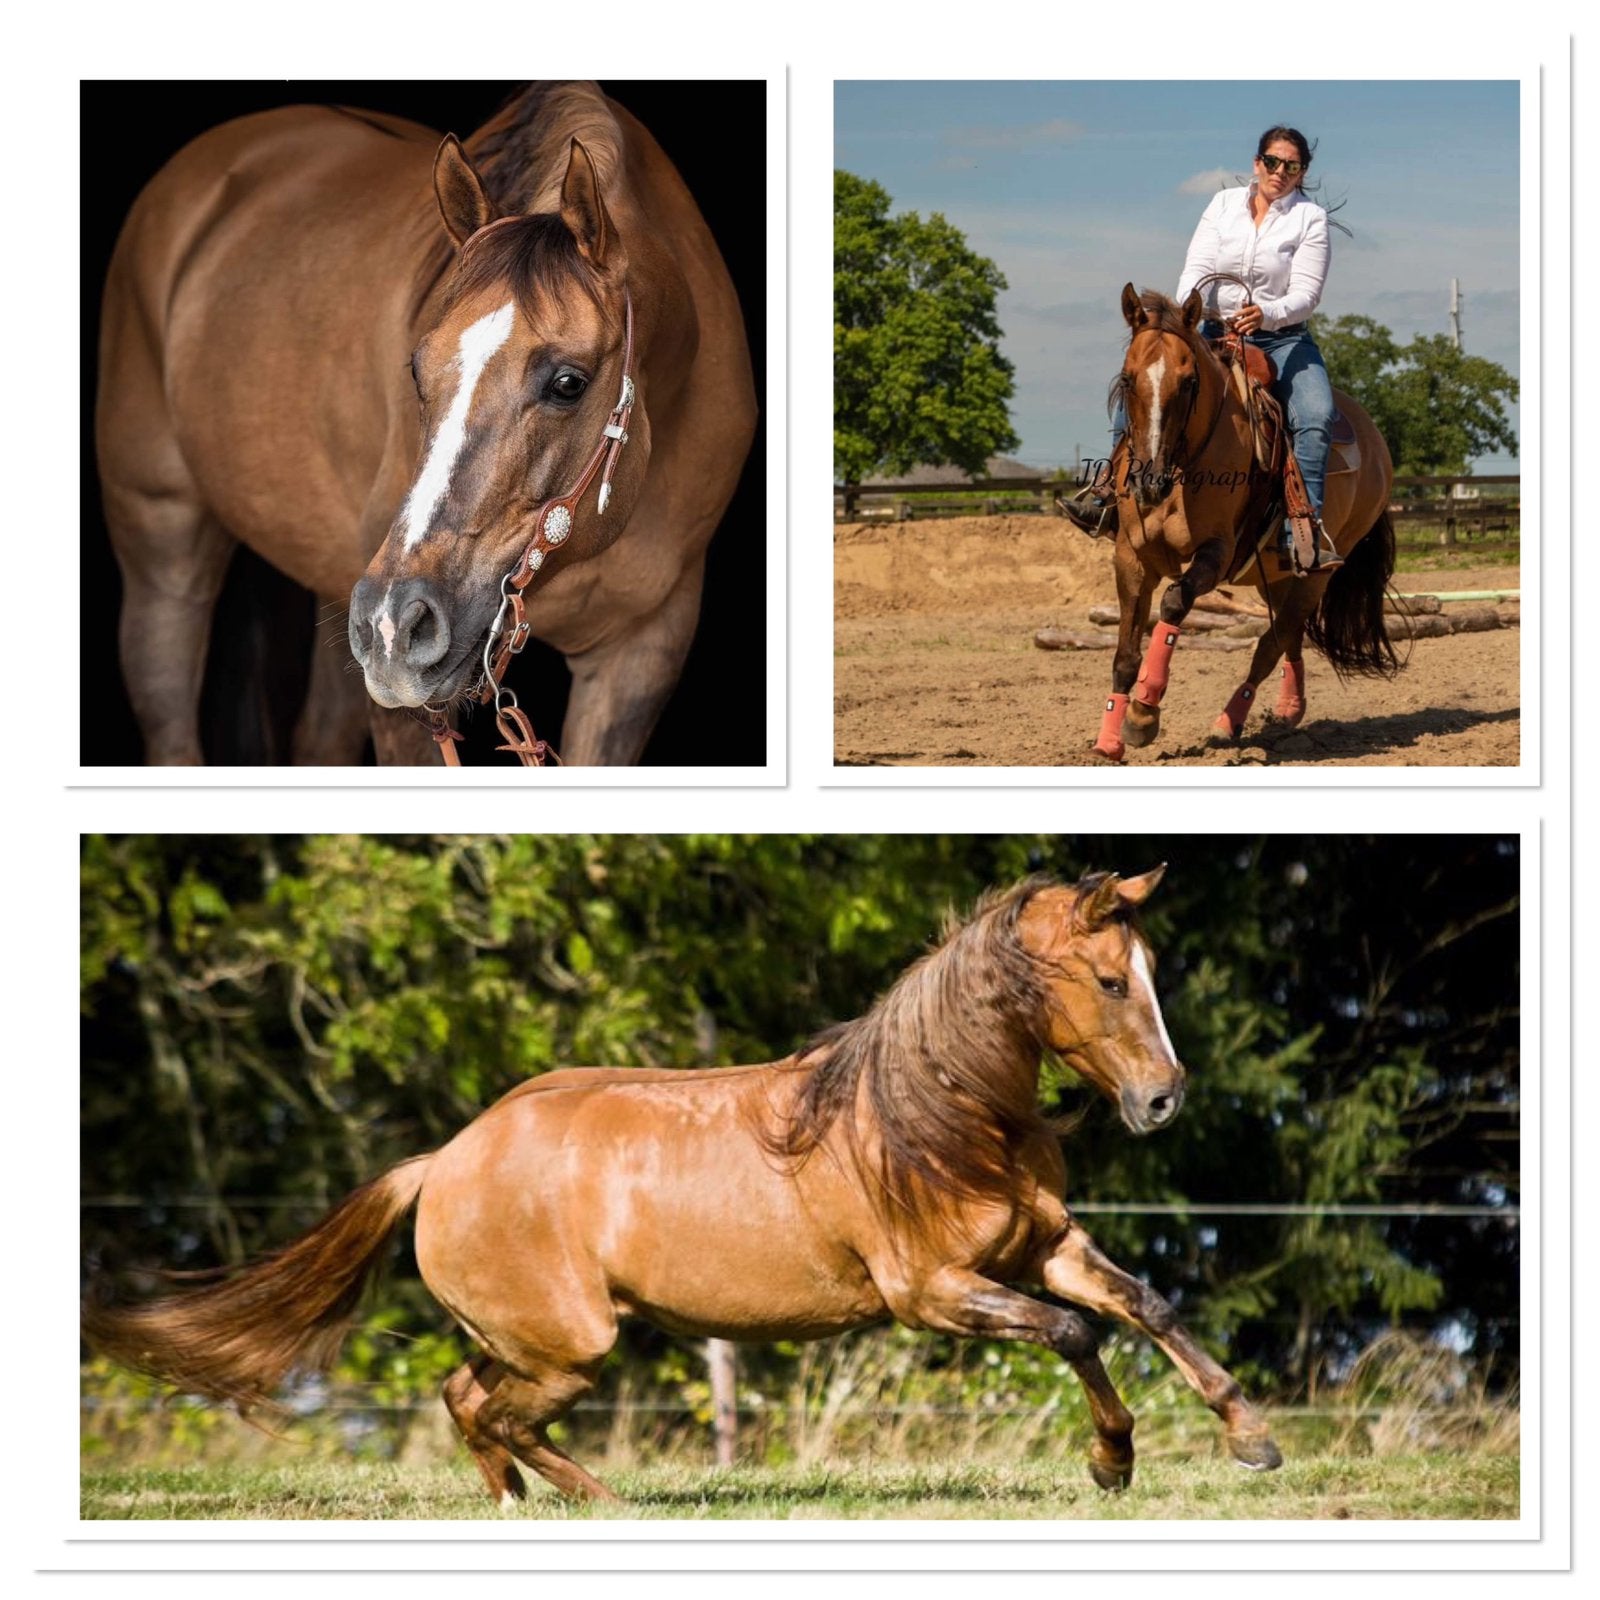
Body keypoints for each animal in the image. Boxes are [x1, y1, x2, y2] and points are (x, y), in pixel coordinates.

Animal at [82, 869, 1282, 1504]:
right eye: (1109, 979)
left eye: (1151, 974)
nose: (1164, 1100)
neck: (939, 1119)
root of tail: (442, 1162)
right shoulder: (931, 1292)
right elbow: (1077, 1334)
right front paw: (1112, 1459)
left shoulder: (1043, 1246)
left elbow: (1146, 1303)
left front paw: (1250, 1436)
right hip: (570, 1347)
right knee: (493, 1410)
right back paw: (599, 1506)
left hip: (526, 1340)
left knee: (467, 1402)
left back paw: (533, 1509)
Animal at [1088, 285, 1397, 762]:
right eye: (1127, 378)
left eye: (1189, 381)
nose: (1149, 481)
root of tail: (1374, 438)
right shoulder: (1131, 556)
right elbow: (1124, 652)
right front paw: (1109, 738)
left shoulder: (1217, 554)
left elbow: (1174, 606)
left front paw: (1143, 714)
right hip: (1282, 576)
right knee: (1291, 637)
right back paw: (1289, 708)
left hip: (1318, 573)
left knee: (1273, 642)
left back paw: (1229, 721)